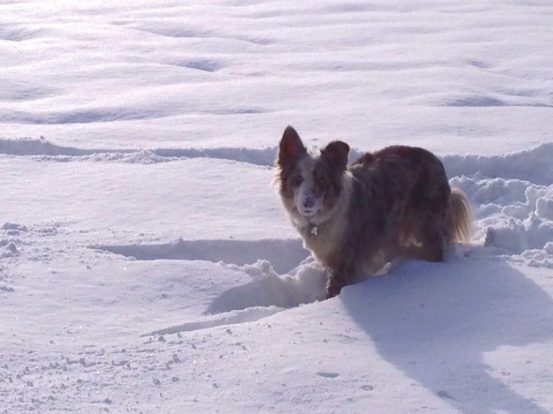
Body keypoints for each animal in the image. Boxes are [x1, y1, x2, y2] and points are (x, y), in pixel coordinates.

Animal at [274, 125, 468, 298]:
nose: (307, 204)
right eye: (297, 178)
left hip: (428, 223)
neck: (322, 219)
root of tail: (435, 160)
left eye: (322, 180)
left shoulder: (346, 260)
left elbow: (335, 287)